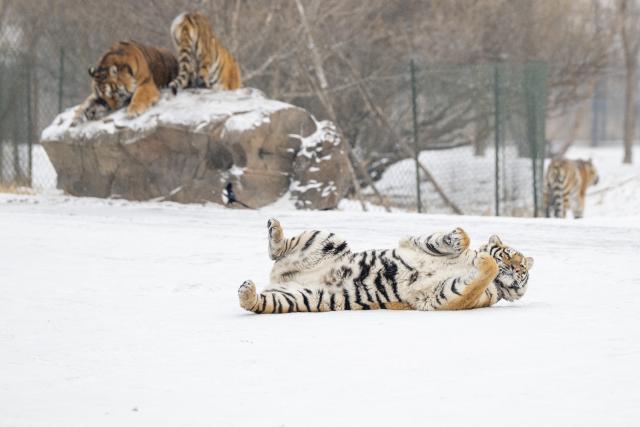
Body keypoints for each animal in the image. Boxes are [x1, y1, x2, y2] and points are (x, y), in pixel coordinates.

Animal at [238, 219, 534, 314]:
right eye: (509, 255)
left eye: (521, 269)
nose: (515, 266)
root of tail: (278, 277)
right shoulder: (413, 243)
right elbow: (445, 241)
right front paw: (459, 237)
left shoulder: (443, 297)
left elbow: (478, 276)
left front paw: (482, 260)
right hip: (326, 238)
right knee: (277, 250)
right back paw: (274, 227)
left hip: (298, 297)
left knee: (257, 302)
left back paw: (246, 290)